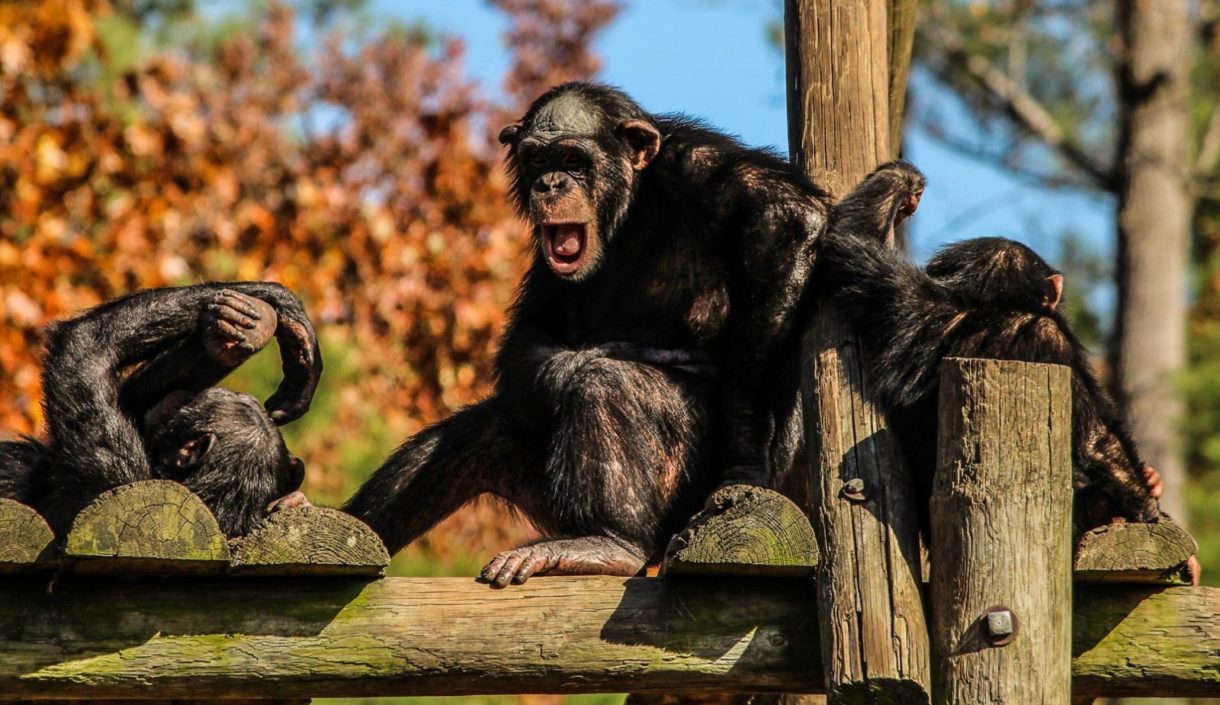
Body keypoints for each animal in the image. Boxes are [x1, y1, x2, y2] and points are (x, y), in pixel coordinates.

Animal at [348, 81, 834, 580]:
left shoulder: (700, 164)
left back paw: (609, 542)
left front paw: (743, 455)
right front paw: (575, 359)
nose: (550, 183)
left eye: (573, 159)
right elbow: (528, 337)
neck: (630, 208)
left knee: (607, 384)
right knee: (478, 433)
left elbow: (787, 218)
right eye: (537, 160)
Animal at [814, 161, 1156, 531]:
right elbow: (1098, 441)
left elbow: (850, 240)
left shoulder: (903, 298)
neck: (988, 307)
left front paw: (903, 182)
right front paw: (1147, 501)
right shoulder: (1050, 336)